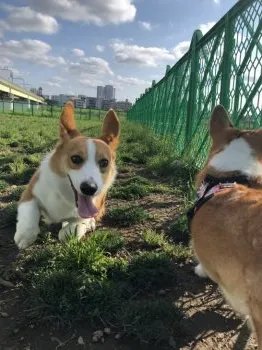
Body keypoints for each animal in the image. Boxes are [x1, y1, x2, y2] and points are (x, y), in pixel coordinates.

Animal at [14, 101, 119, 249]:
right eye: (75, 158)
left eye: (104, 162)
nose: (89, 188)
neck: (65, 195)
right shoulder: (29, 193)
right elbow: (29, 212)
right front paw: (25, 235)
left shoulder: (91, 209)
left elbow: (76, 224)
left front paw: (71, 230)